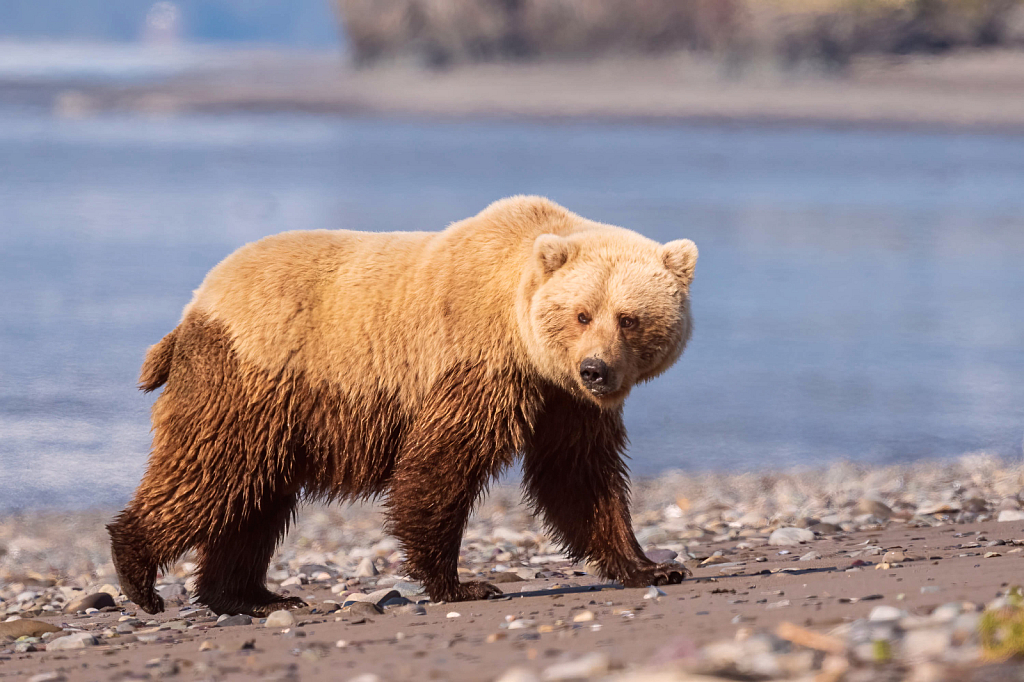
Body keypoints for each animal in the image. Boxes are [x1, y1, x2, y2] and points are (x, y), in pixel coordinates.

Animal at [110, 193, 696, 614]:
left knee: (254, 498)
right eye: (582, 313)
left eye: (629, 318)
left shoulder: (564, 402)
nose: (596, 370)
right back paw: (139, 572)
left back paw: (252, 596)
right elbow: (443, 464)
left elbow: (580, 477)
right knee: (212, 473)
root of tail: (192, 308)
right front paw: (460, 583)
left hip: (273, 413)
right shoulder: (477, 364)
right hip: (249, 376)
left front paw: (651, 566)